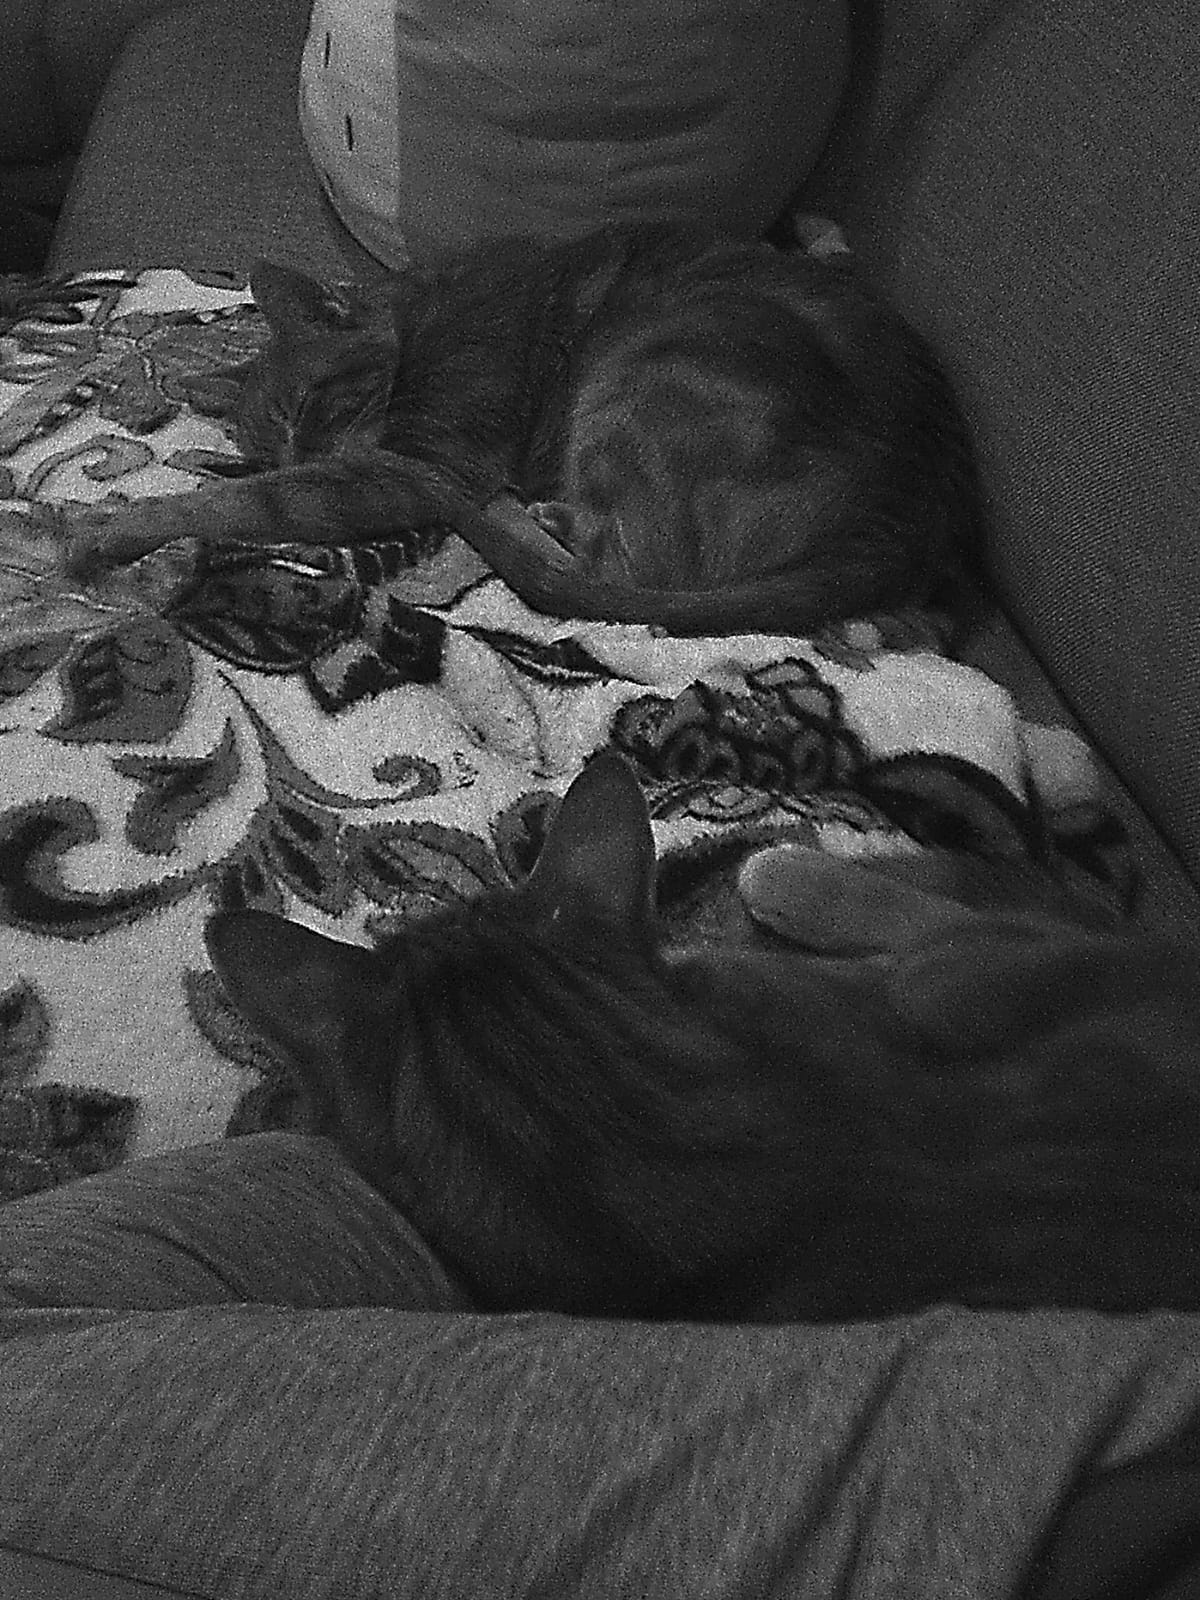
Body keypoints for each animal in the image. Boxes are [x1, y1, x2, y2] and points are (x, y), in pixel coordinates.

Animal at [68, 227, 985, 636]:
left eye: (308, 407)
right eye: (275, 435)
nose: (304, 449)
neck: (417, 325)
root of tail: (914, 512)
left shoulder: (418, 463)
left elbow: (248, 506)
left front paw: (110, 528)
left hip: (655, 368)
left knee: (627, 571)